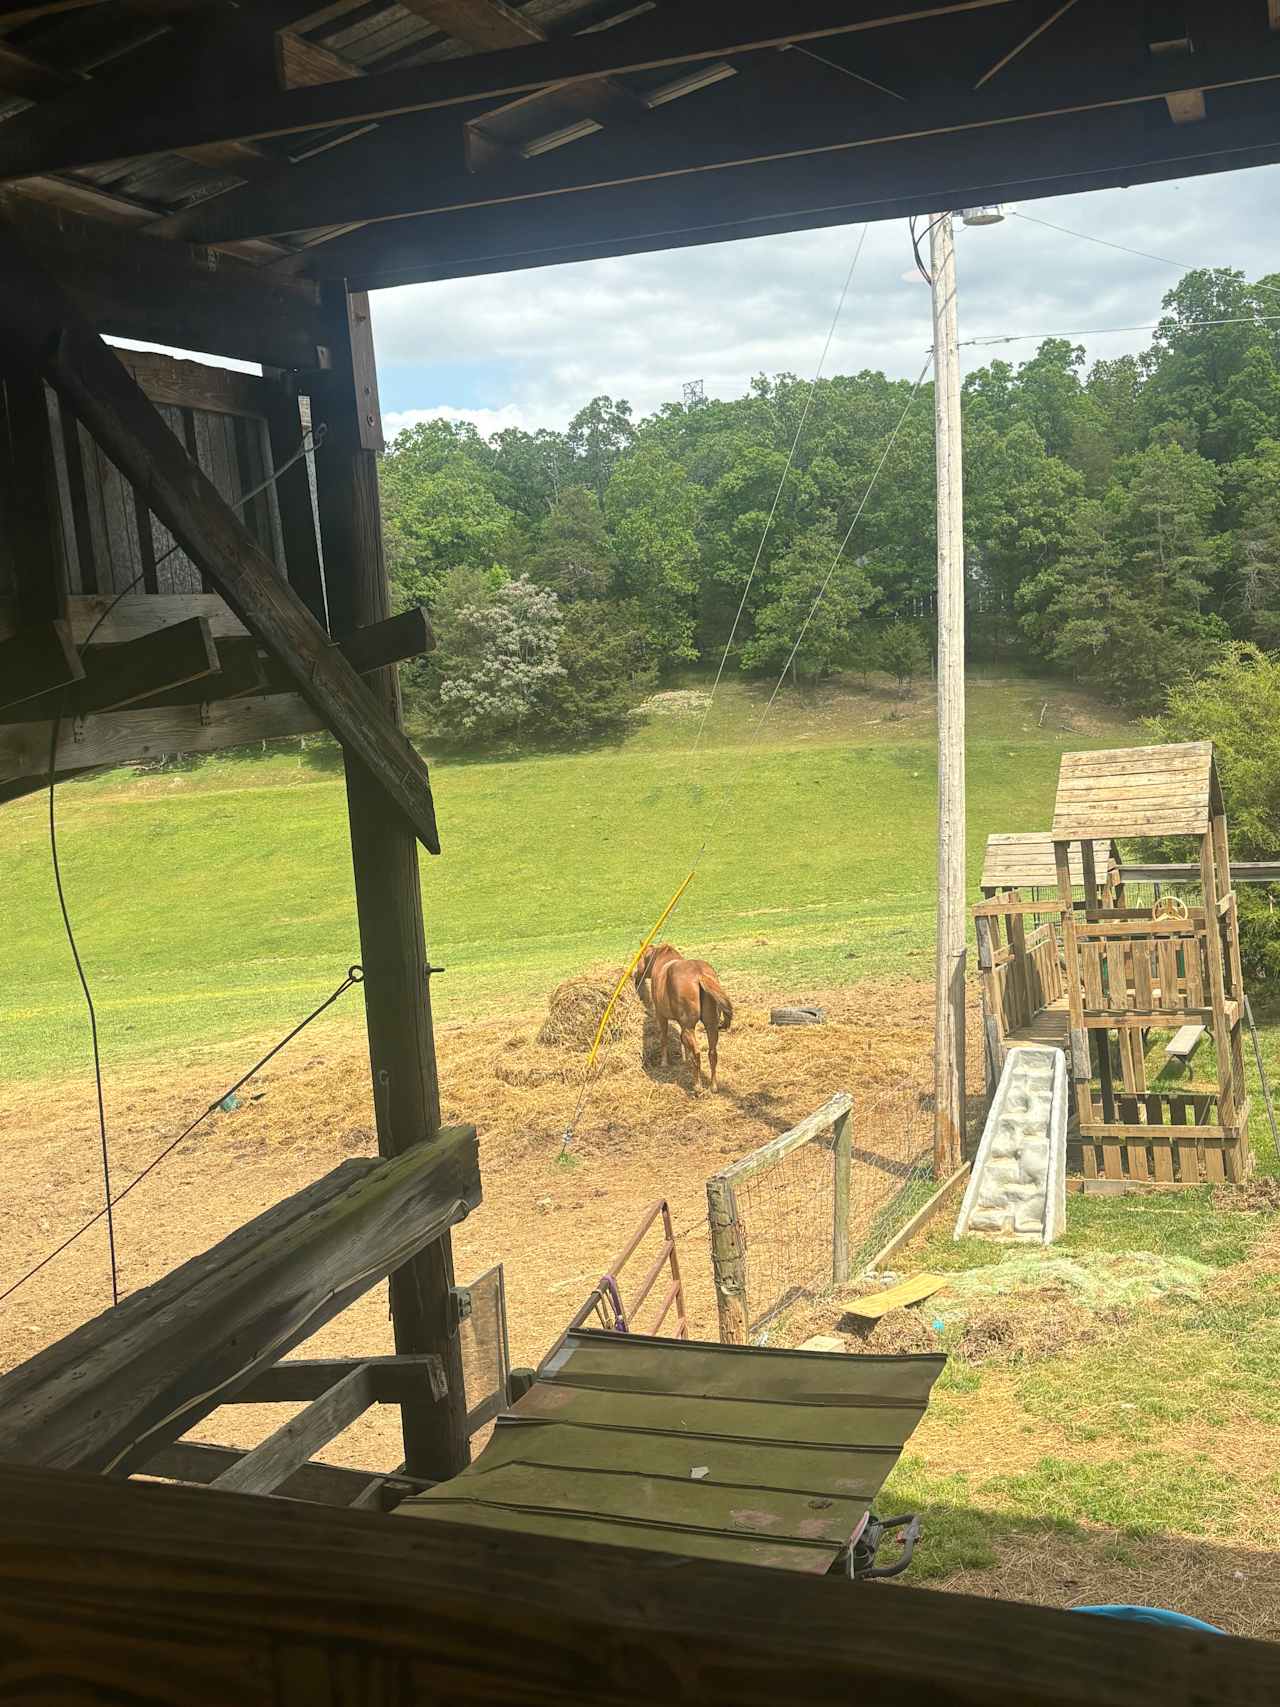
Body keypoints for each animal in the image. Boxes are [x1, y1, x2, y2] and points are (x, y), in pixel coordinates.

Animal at [631, 942, 730, 1085]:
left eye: (639, 957)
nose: (635, 977)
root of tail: (699, 974)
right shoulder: (681, 1023)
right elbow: (683, 1040)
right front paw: (686, 1059)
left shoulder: (661, 1016)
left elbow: (664, 1038)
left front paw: (664, 1063)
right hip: (711, 1026)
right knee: (712, 1053)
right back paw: (713, 1086)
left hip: (690, 1027)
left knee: (697, 1053)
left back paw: (697, 1085)